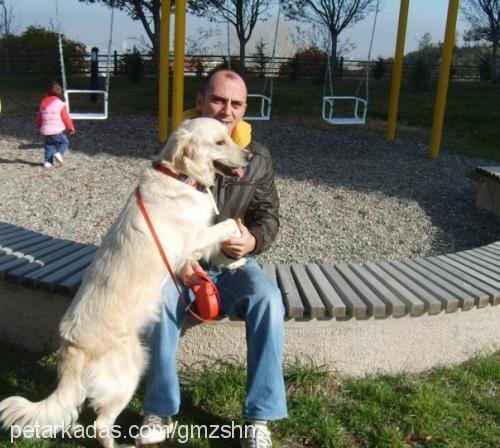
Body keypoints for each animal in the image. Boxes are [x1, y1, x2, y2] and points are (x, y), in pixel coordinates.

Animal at [0, 117, 249, 446]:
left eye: (229, 137)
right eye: (220, 142)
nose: (249, 157)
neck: (179, 175)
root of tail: (71, 346)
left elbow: (220, 244)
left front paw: (236, 259)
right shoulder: (193, 238)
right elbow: (230, 223)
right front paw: (236, 248)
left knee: (75, 415)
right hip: (132, 368)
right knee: (101, 423)